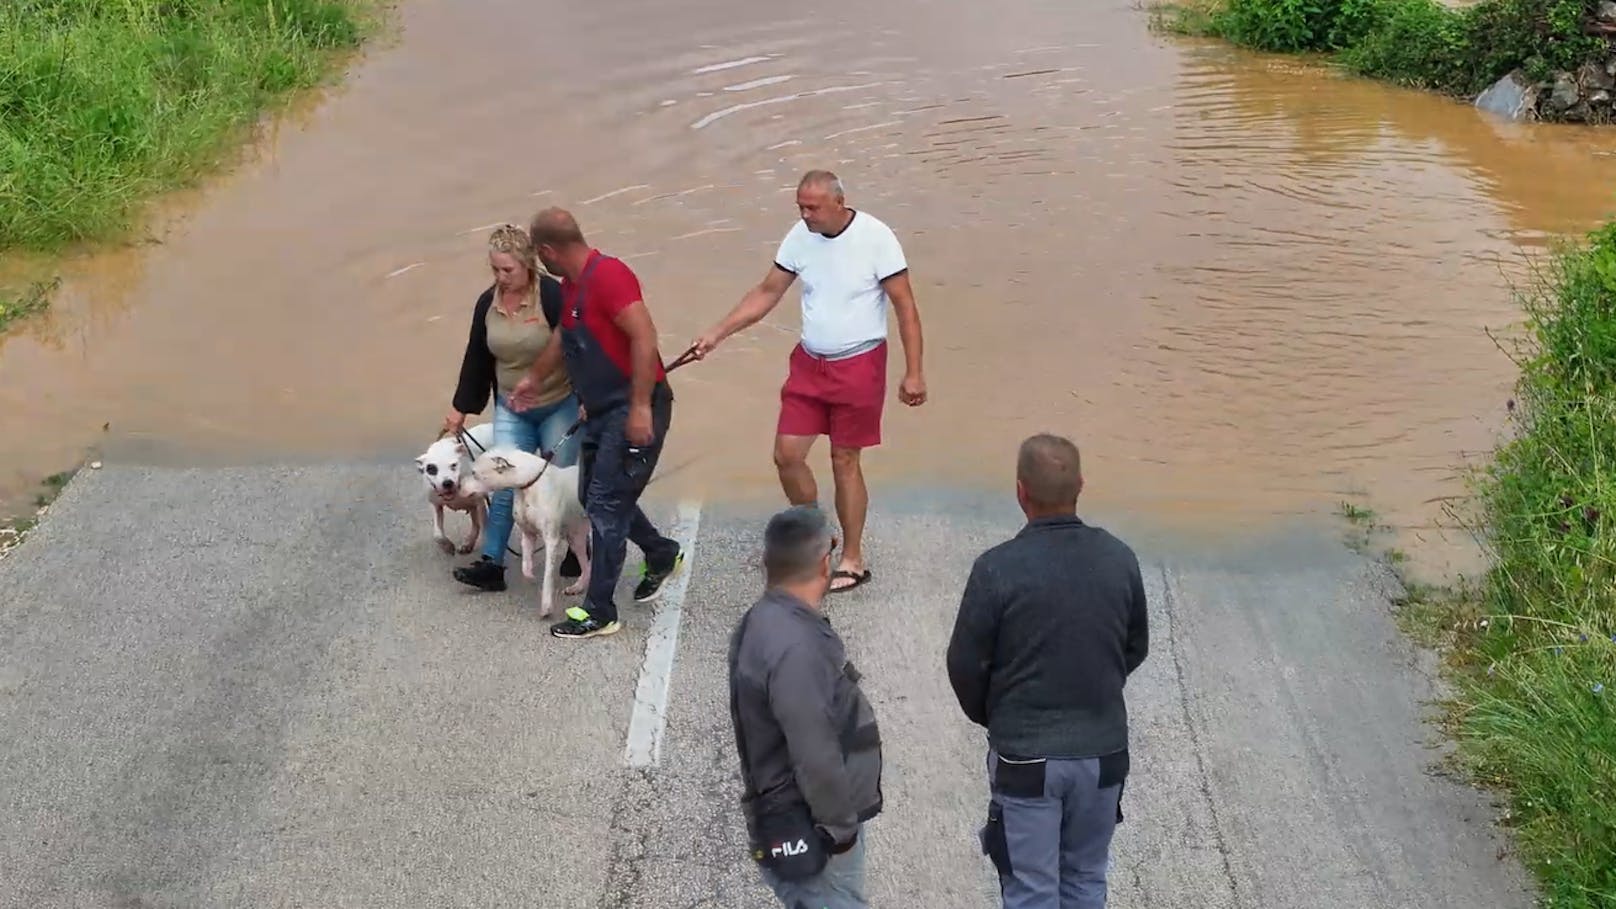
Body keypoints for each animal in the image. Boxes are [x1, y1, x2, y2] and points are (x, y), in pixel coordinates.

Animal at [413, 423, 494, 556]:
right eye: (432, 468)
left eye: (454, 465)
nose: (447, 483)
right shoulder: (435, 504)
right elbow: (437, 534)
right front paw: (447, 546)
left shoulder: (479, 503)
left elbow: (484, 527)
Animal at [471, 446, 591, 614]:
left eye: (474, 473)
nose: (455, 486)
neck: (532, 482)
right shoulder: (528, 535)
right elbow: (525, 567)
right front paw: (530, 577)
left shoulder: (551, 541)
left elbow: (547, 577)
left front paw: (546, 606)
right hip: (576, 538)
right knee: (587, 565)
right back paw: (577, 587)